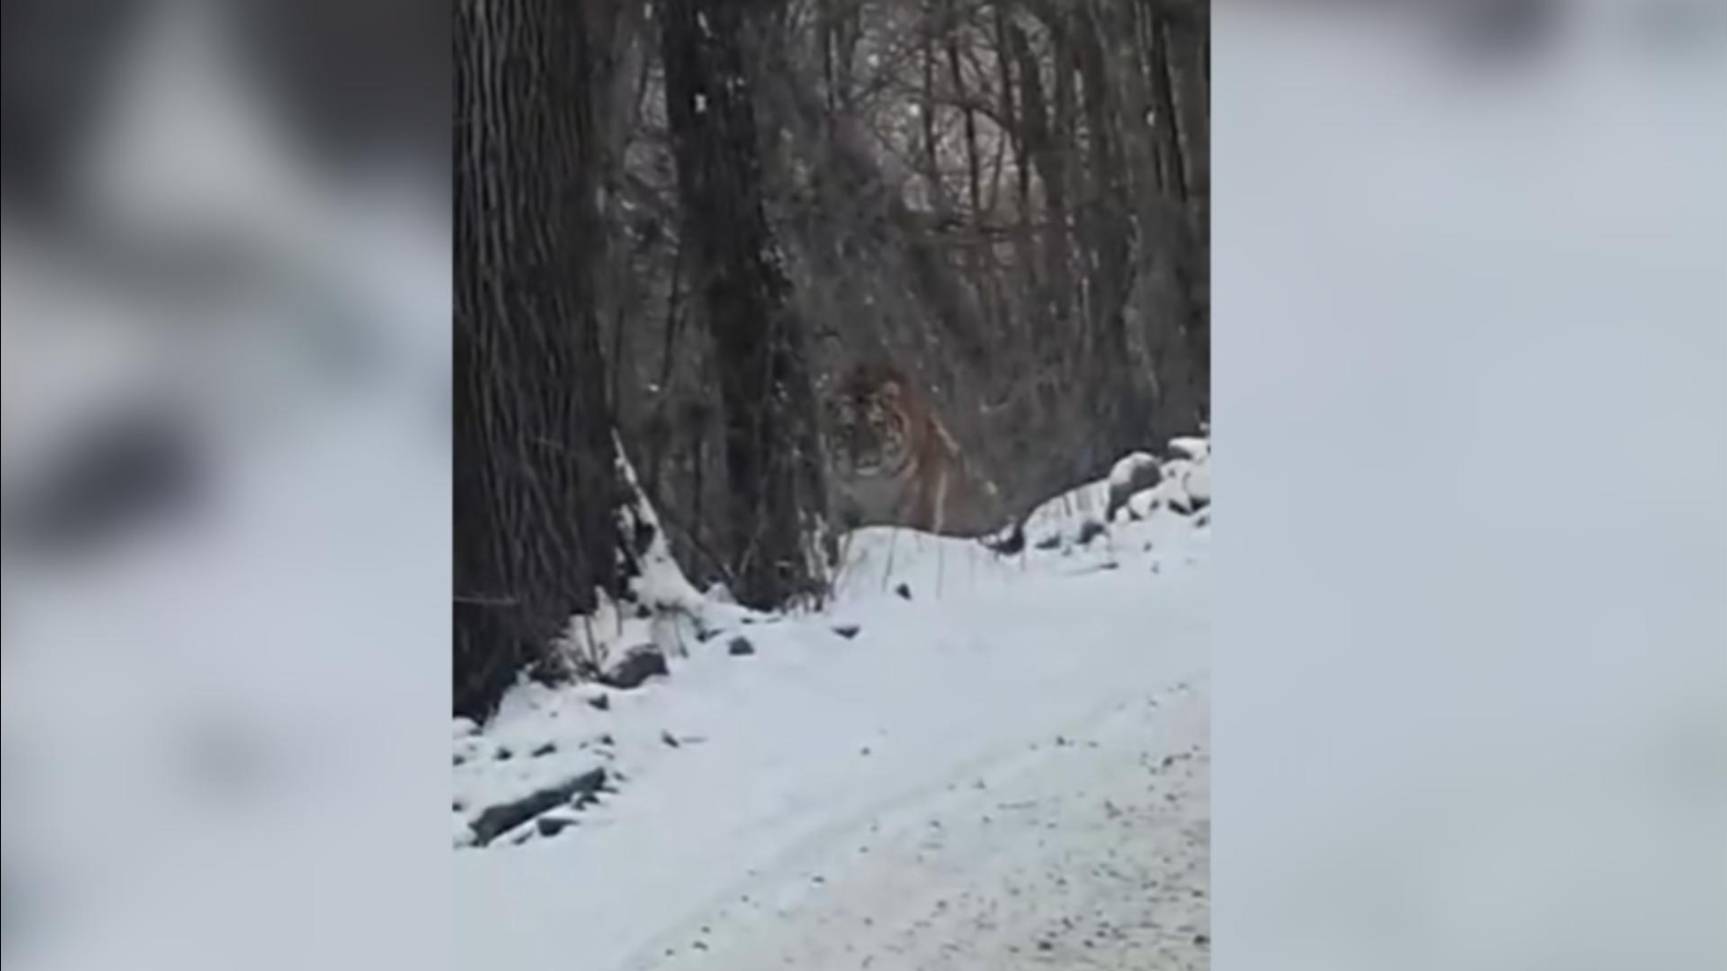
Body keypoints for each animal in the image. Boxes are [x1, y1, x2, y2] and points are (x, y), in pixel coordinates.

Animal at [825, 359, 1015, 549]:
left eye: (877, 423)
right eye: (849, 427)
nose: (867, 460)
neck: (872, 484)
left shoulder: (918, 508)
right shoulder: (845, 508)